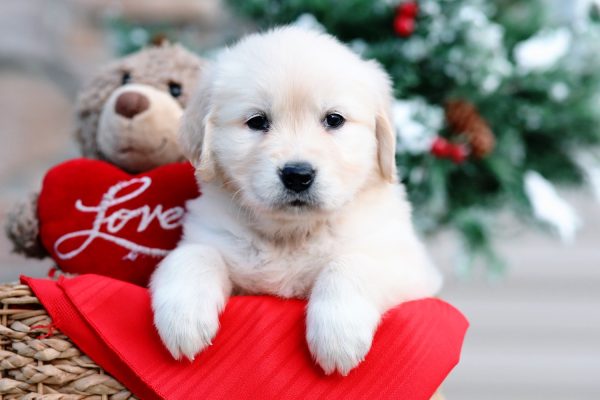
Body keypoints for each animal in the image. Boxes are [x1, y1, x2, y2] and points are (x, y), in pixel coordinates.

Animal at [150, 25, 440, 376]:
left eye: (334, 120)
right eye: (257, 121)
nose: (298, 175)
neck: (291, 234)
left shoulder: (410, 267)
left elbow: (351, 263)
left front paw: (338, 335)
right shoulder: (209, 235)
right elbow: (193, 255)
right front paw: (183, 320)